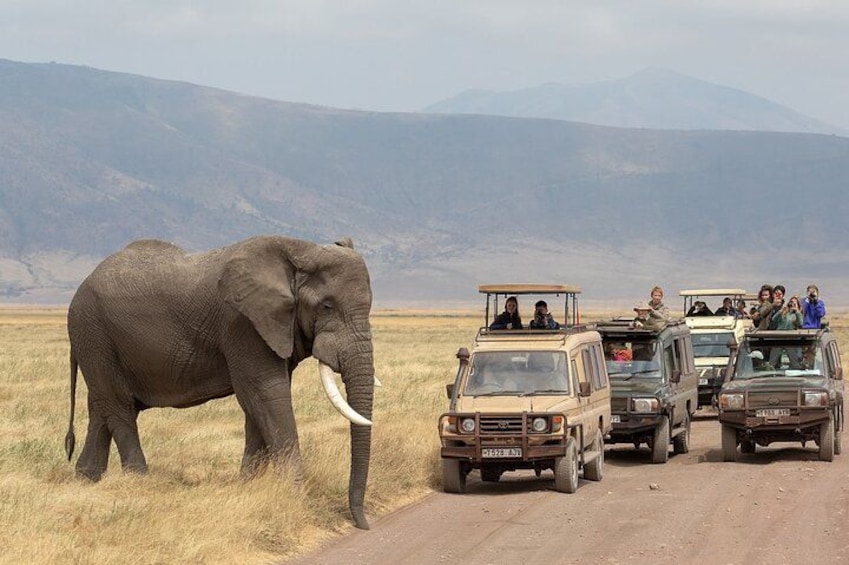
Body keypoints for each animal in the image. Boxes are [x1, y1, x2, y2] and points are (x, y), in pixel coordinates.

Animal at [64, 235, 376, 529]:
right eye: (327, 306)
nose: (362, 524)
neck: (302, 249)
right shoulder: (242, 323)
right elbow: (266, 392)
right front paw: (294, 496)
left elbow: (260, 403)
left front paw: (248, 486)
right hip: (94, 334)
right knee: (119, 408)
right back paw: (139, 480)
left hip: (98, 343)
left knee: (101, 408)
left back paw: (87, 477)